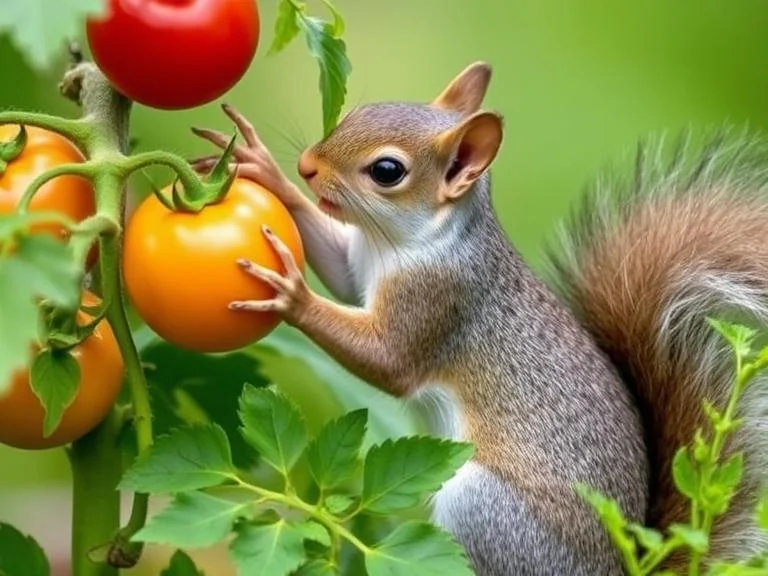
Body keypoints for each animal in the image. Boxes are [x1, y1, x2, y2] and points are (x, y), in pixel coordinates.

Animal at [189, 62, 768, 575]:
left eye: (387, 172)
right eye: (354, 112)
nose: (308, 166)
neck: (410, 242)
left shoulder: (442, 299)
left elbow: (388, 361)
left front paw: (292, 294)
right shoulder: (361, 268)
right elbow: (341, 274)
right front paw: (266, 169)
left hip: (485, 509)